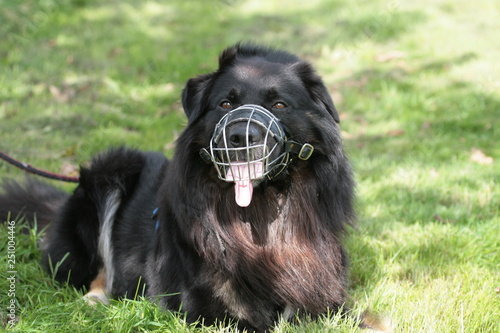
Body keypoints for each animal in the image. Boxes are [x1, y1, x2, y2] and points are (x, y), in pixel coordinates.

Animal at [0, 42, 360, 330]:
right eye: (225, 104)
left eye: (279, 105)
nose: (240, 136)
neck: (259, 212)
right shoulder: (205, 312)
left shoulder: (327, 301)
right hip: (112, 169)